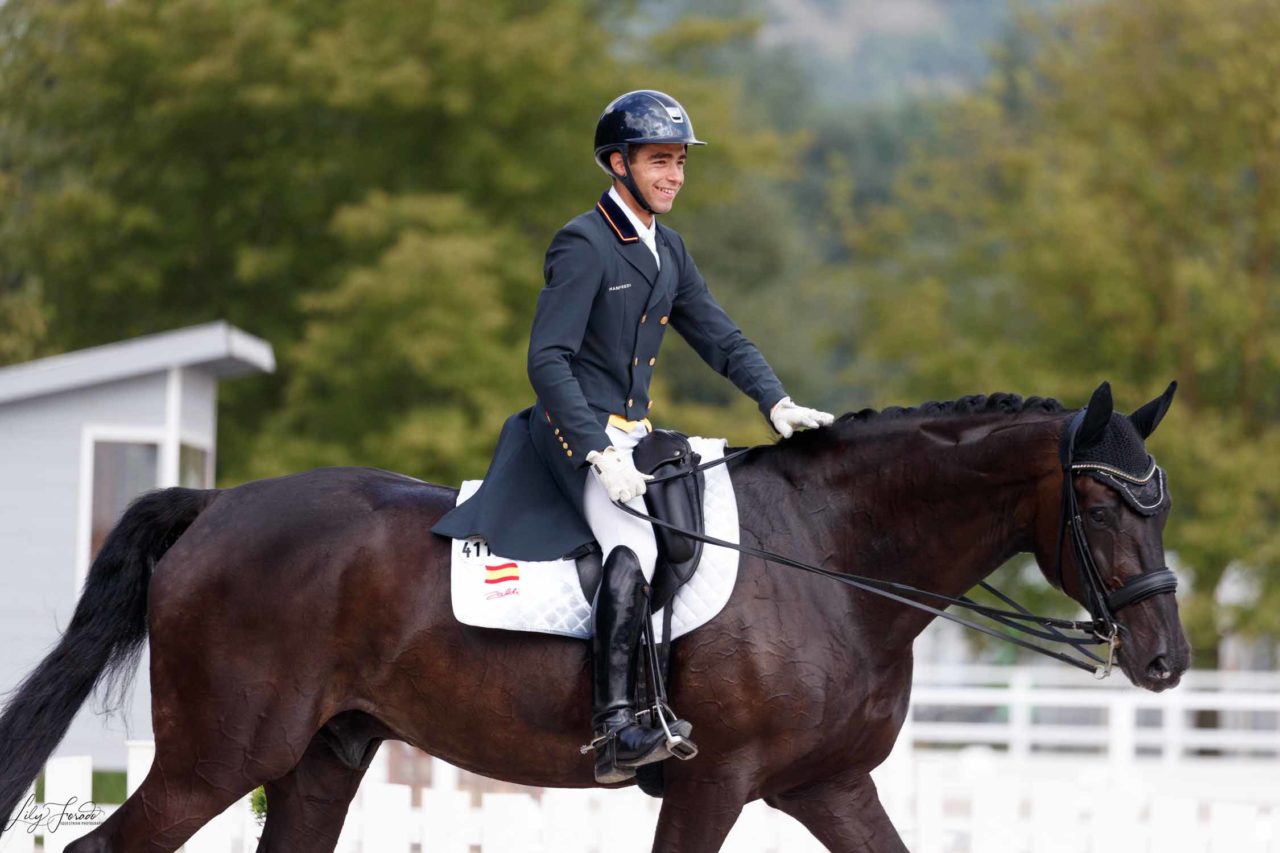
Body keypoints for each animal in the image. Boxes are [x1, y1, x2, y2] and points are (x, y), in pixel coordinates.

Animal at [0, 386, 1187, 850]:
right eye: (1097, 505)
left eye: (1160, 502)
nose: (1167, 659)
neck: (834, 557)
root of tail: (217, 504)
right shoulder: (713, 781)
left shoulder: (831, 784)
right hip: (219, 754)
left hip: (320, 757)